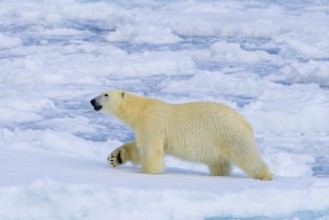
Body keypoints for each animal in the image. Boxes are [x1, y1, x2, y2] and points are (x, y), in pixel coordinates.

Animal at [90, 90, 272, 180]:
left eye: (106, 94)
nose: (92, 100)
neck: (141, 110)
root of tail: (245, 121)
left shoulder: (152, 123)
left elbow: (151, 151)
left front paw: (148, 174)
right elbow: (139, 148)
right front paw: (115, 157)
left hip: (230, 134)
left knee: (247, 156)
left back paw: (264, 176)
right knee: (219, 165)